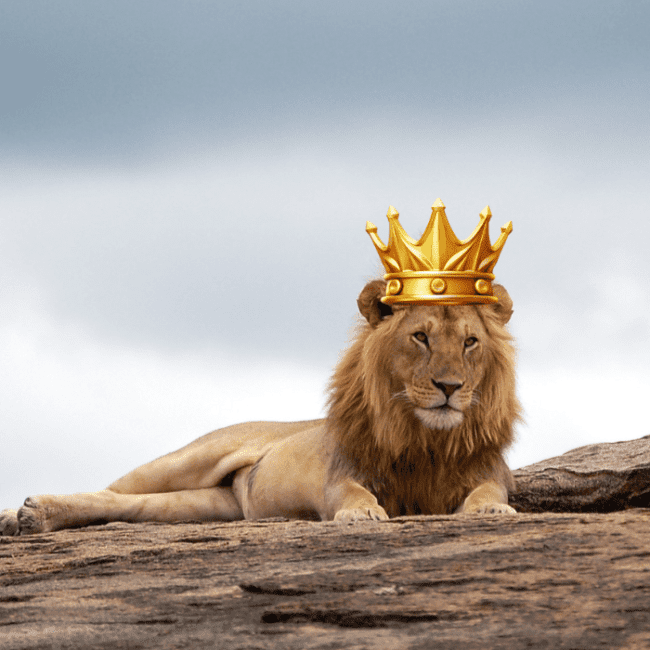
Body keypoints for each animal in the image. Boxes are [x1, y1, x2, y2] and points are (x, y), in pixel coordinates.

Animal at [0, 279, 521, 536]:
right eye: (420, 337)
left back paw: (31, 519)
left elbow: (488, 493)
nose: (450, 387)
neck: (426, 438)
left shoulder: (487, 473)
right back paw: (22, 514)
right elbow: (353, 495)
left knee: (131, 507)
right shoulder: (340, 476)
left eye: (470, 342)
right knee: (112, 491)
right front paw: (363, 515)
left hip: (214, 506)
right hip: (189, 458)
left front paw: (492, 512)